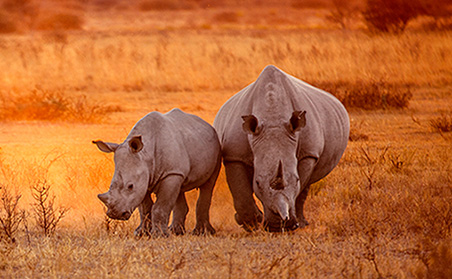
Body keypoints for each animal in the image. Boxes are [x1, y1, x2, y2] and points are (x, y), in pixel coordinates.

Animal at [94, 108, 222, 237]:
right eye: (110, 185)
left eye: (130, 186)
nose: (115, 214)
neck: (145, 154)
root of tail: (207, 125)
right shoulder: (146, 177)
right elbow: (145, 208)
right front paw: (141, 233)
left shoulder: (170, 173)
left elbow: (160, 206)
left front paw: (159, 235)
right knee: (179, 188)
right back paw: (176, 231)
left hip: (216, 147)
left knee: (208, 185)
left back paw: (202, 232)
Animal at [213, 65, 350, 232]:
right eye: (257, 183)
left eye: (296, 180)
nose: (278, 226)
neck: (272, 118)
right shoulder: (234, 155)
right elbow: (240, 190)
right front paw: (251, 223)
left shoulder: (308, 153)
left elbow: (300, 186)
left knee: (307, 184)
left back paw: (302, 224)